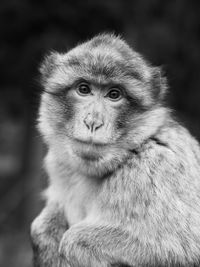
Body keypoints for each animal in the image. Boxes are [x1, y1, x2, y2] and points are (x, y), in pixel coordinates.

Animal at [30, 34, 200, 267]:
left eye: (114, 95)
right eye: (84, 89)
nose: (93, 122)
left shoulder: (152, 170)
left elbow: (187, 249)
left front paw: (75, 241)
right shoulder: (59, 165)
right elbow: (41, 228)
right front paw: (45, 232)